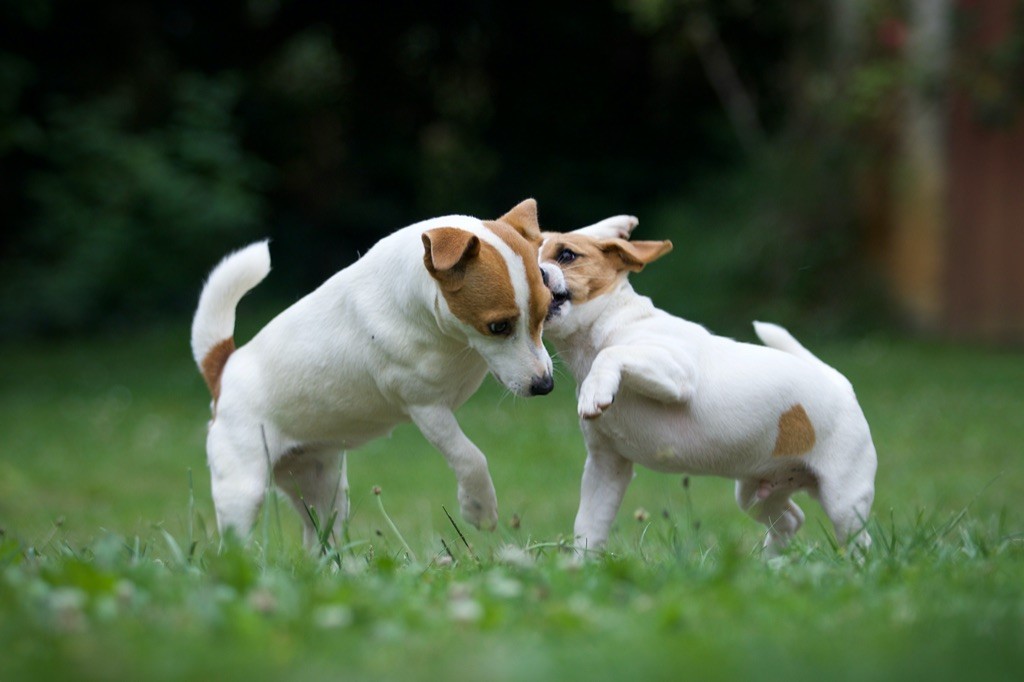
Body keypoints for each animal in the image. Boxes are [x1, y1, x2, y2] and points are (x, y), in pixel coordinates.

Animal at [194, 199, 557, 544]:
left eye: (545, 313)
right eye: (498, 326)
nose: (545, 385)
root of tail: (225, 369)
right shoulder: (427, 409)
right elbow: (469, 456)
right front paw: (479, 509)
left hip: (323, 487)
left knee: (319, 537)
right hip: (243, 487)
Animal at [540, 215, 876, 557]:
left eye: (566, 254)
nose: (537, 274)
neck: (607, 327)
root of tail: (840, 383)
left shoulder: (676, 372)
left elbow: (612, 354)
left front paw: (596, 391)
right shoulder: (606, 468)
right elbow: (588, 529)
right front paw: (581, 564)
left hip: (843, 498)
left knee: (859, 539)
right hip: (757, 492)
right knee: (791, 520)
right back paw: (771, 562)